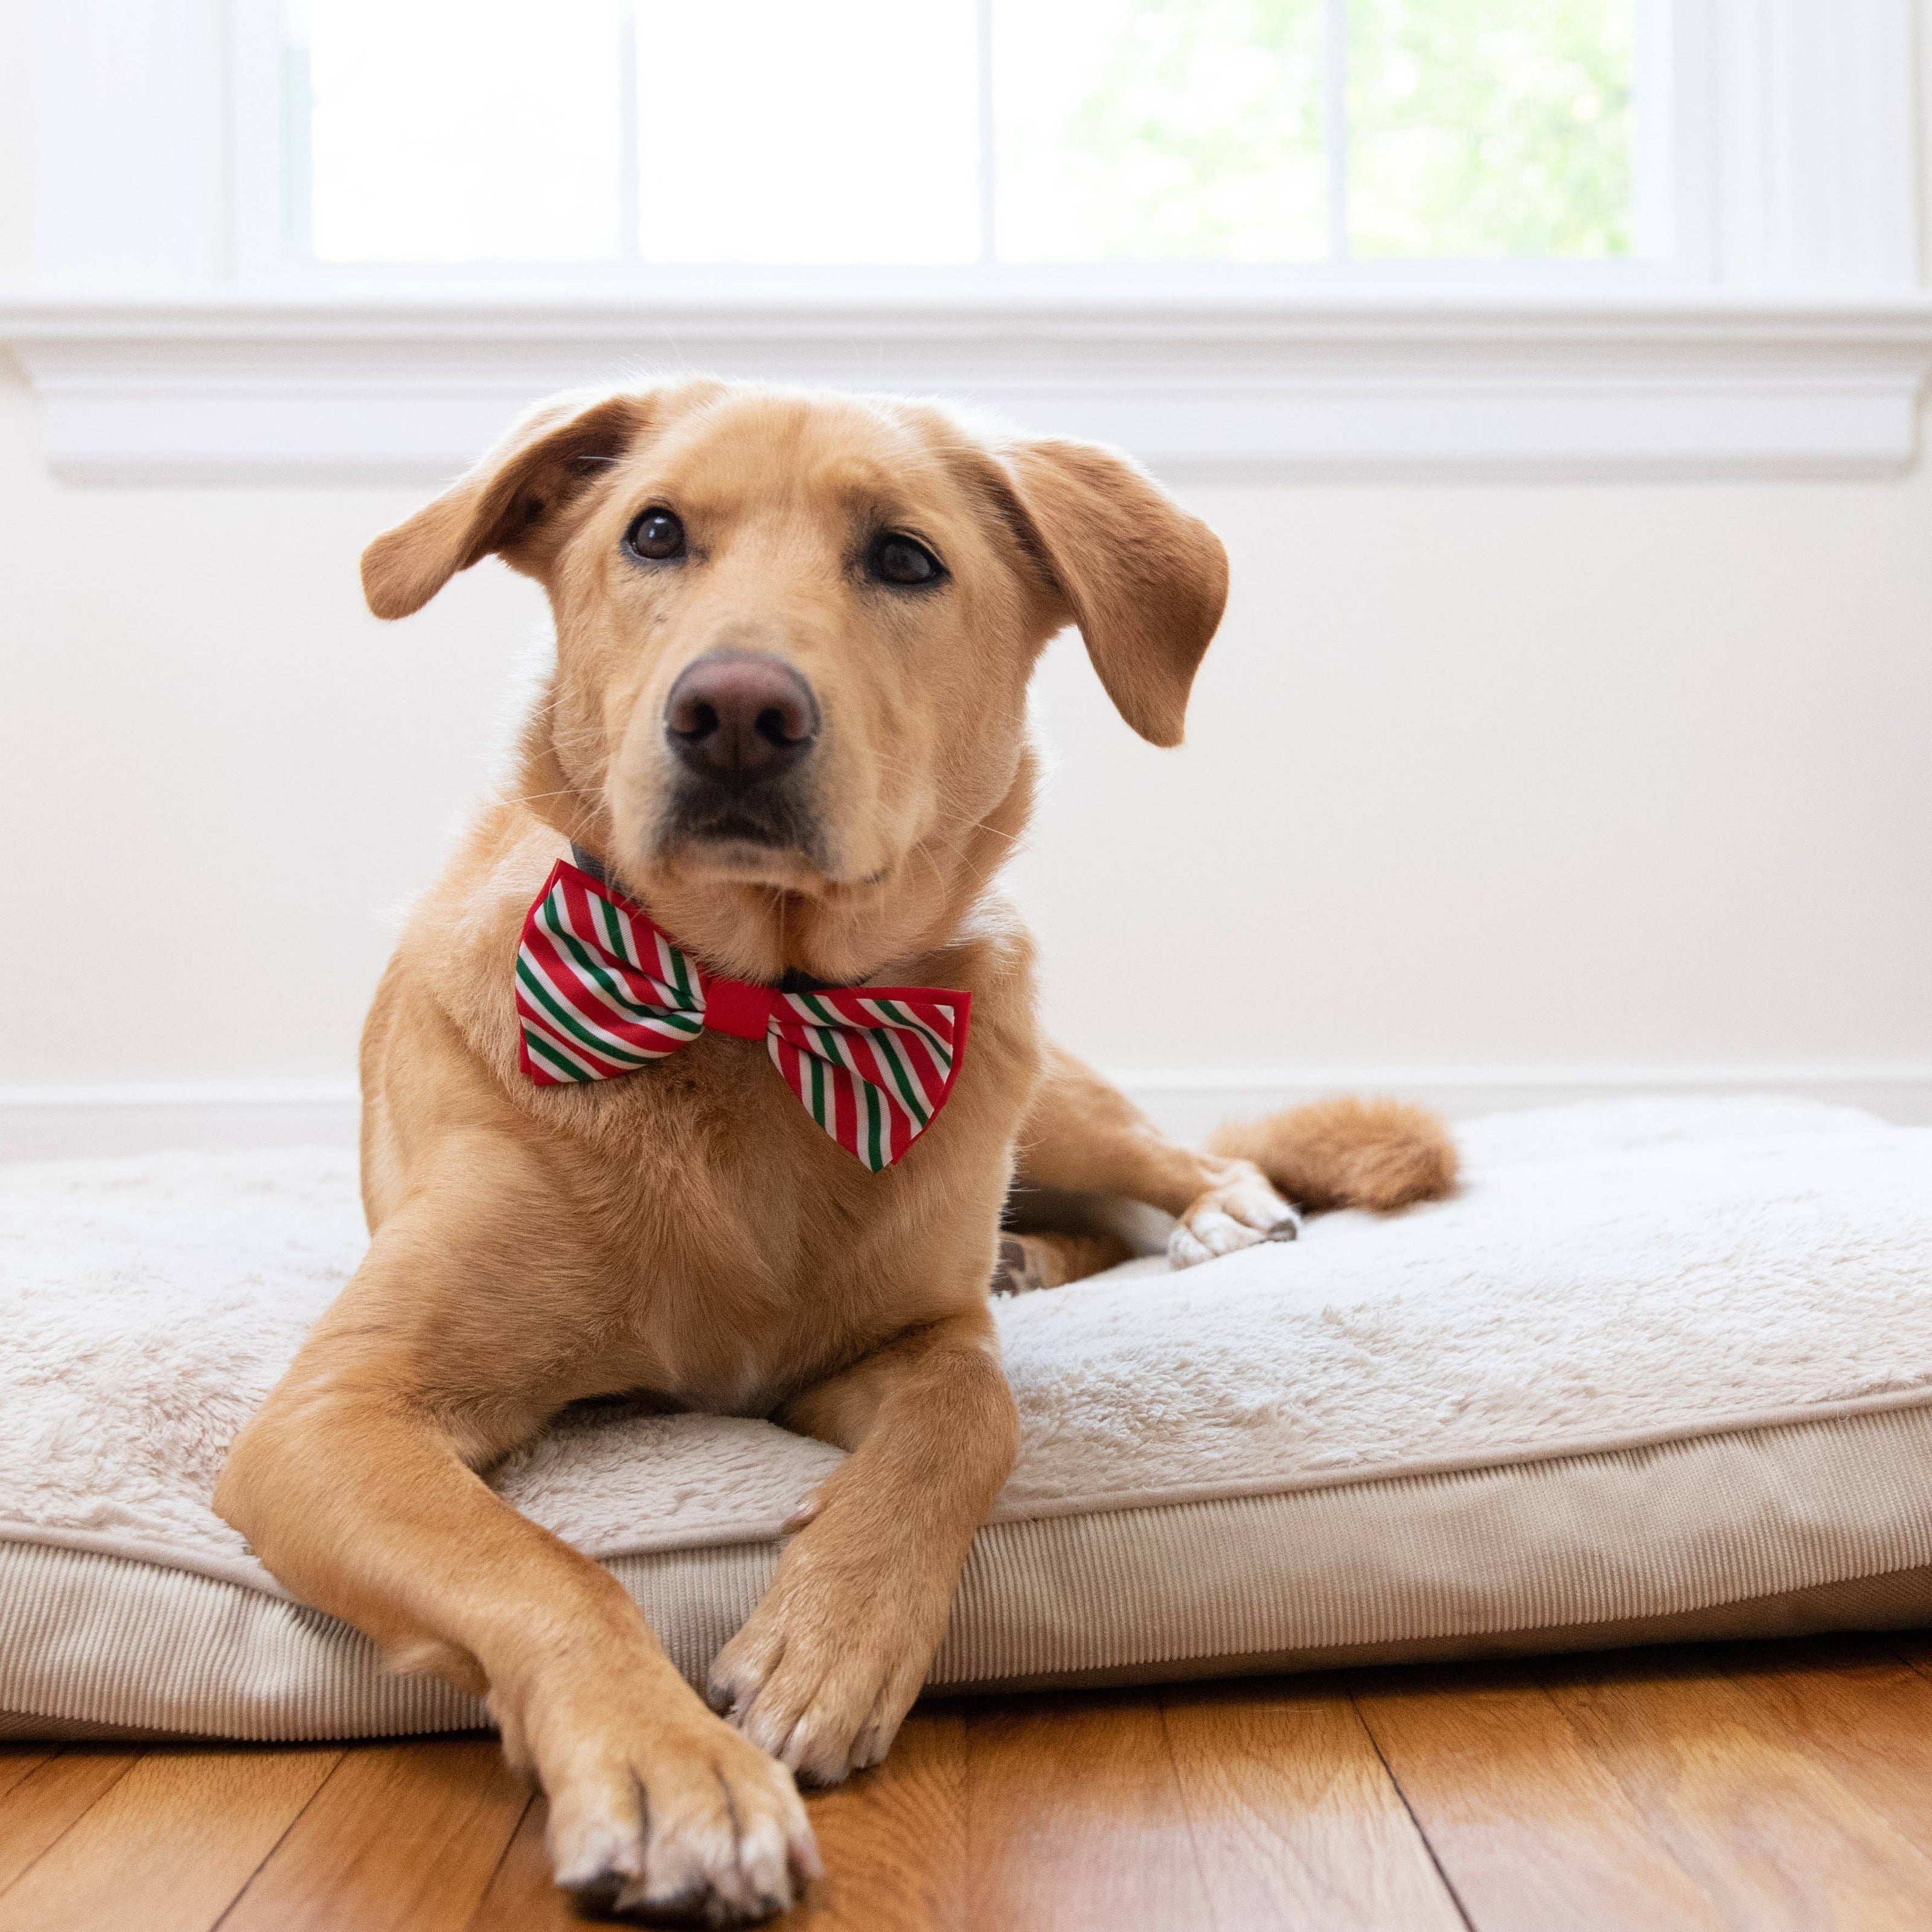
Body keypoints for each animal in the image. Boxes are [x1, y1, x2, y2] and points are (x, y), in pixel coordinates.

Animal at [215, 373, 1453, 1916]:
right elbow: (546, 1567)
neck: (758, 1014)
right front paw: (669, 1766)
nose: (735, 712)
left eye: (906, 559)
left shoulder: (899, 1345)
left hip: (1035, 1069)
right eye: (655, 532)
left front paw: (831, 1640)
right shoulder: (333, 1416)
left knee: (1164, 1166)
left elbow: (966, 1415)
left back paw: (1202, 1216)